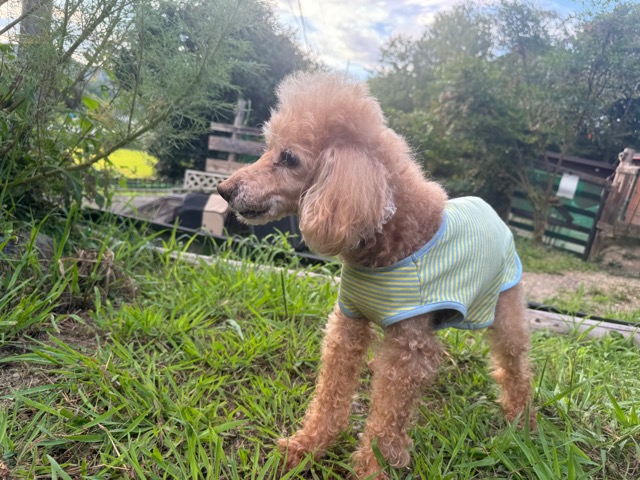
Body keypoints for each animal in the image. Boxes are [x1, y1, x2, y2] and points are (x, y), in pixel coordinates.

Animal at [217, 72, 534, 479]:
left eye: (288, 158)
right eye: (268, 148)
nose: (224, 190)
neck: (388, 236)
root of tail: (491, 209)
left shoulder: (408, 348)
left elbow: (388, 417)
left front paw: (373, 467)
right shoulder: (349, 323)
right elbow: (331, 393)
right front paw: (307, 446)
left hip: (505, 308)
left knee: (515, 362)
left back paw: (522, 417)